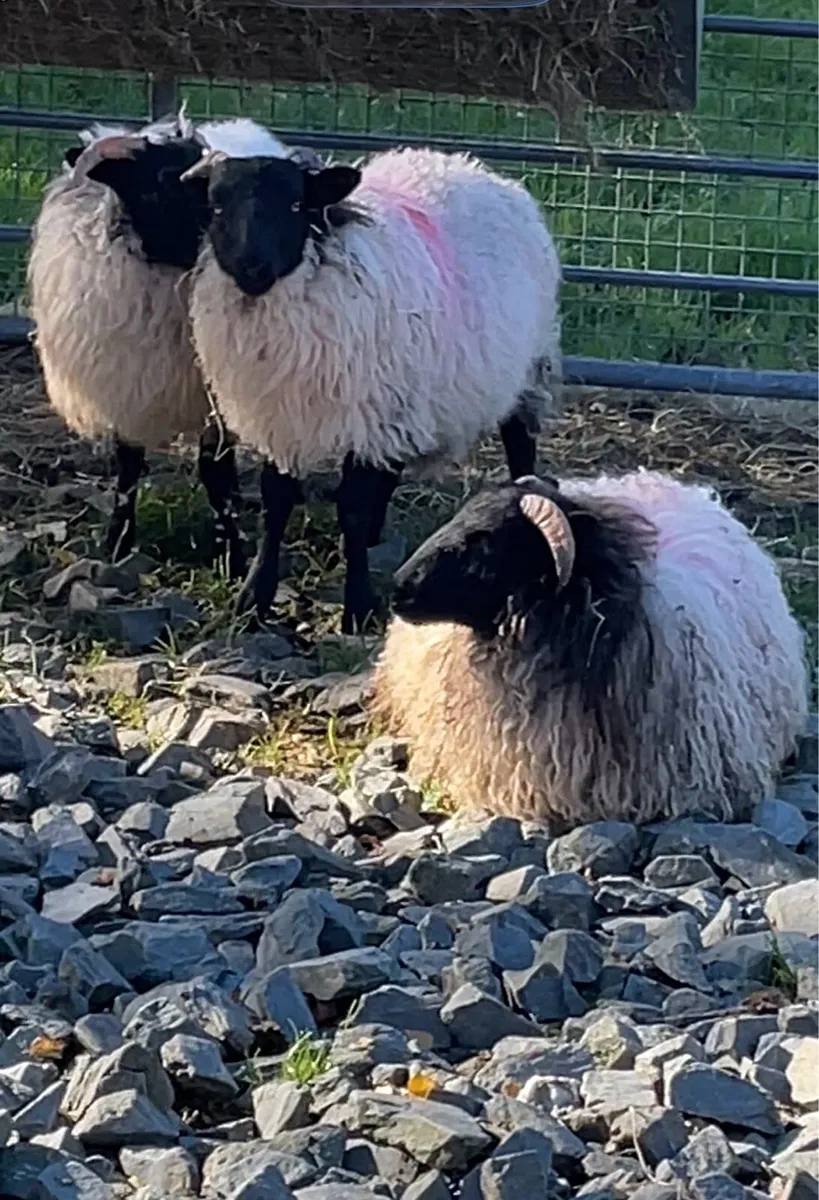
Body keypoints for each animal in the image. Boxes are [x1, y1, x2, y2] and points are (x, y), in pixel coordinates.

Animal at [26, 111, 305, 573]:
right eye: (164, 181)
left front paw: (232, 551)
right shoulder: (125, 384)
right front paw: (118, 542)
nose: (249, 262)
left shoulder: (214, 398)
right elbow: (128, 467)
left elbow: (215, 471)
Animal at [181, 145, 562, 633]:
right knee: (391, 469)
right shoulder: (282, 417)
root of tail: (472, 166)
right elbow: (277, 501)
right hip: (406, 392)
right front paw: (253, 598)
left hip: (527, 367)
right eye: (215, 206)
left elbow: (354, 509)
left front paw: (358, 605)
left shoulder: (366, 417)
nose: (253, 268)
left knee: (520, 442)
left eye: (295, 205)